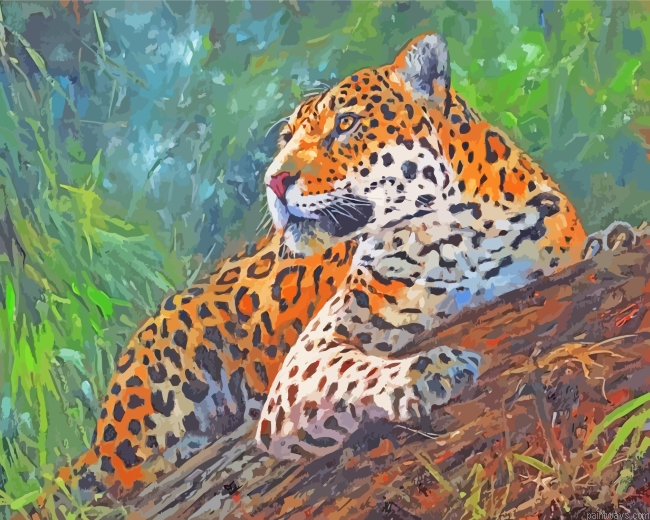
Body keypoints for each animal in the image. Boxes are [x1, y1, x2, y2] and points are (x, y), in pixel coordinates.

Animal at [39, 32, 636, 509]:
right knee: (123, 474)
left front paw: (615, 237)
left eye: (345, 125)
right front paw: (427, 373)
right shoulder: (306, 361)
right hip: (161, 395)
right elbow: (350, 372)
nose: (274, 180)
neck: (459, 234)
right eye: (287, 140)